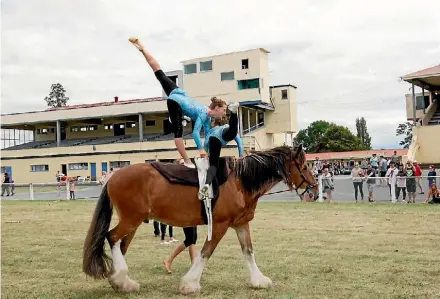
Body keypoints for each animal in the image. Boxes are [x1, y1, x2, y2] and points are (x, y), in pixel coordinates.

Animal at [81, 145, 316, 296]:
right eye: (304, 167)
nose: (313, 192)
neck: (239, 181)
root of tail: (114, 175)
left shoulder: (241, 223)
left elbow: (248, 252)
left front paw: (259, 280)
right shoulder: (220, 225)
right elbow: (206, 252)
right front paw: (190, 284)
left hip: (133, 222)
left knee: (120, 245)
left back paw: (122, 282)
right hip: (131, 220)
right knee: (112, 237)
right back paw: (120, 278)